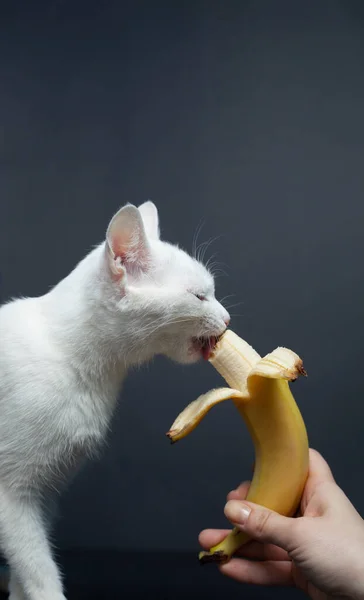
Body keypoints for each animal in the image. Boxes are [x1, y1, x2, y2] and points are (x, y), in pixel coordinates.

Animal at [0, 203, 229, 600]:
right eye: (200, 296)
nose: (228, 319)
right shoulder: (12, 495)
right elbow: (38, 570)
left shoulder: (45, 492)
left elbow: (21, 572)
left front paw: (16, 593)